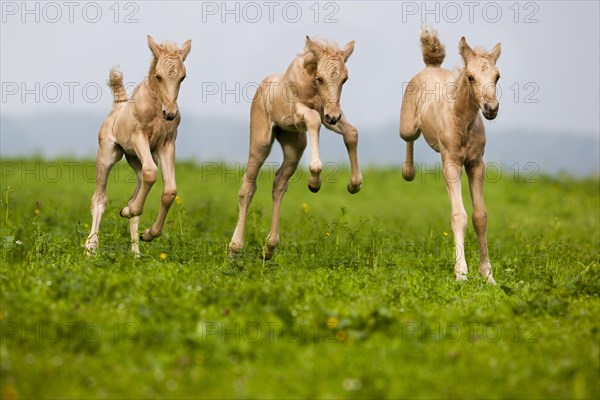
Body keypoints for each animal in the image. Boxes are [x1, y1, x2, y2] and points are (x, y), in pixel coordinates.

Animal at [84, 35, 191, 256]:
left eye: (183, 77)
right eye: (158, 76)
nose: (170, 114)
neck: (156, 108)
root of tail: (118, 104)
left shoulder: (167, 144)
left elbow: (169, 191)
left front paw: (148, 233)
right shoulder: (138, 136)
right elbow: (151, 174)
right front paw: (128, 210)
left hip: (135, 159)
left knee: (139, 185)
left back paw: (136, 253)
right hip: (108, 154)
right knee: (99, 199)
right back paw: (91, 248)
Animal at [229, 35, 360, 260]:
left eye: (345, 79)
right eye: (320, 78)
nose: (334, 116)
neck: (308, 79)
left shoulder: (328, 114)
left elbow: (351, 133)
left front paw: (354, 184)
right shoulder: (299, 113)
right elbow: (313, 119)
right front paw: (315, 180)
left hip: (294, 145)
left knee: (279, 183)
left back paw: (269, 247)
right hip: (261, 142)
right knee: (248, 187)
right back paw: (235, 248)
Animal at [398, 28, 502, 282]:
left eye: (497, 76)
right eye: (470, 77)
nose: (491, 109)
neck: (462, 121)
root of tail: (431, 66)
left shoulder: (476, 164)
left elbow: (480, 217)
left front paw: (488, 275)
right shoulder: (451, 164)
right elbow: (459, 215)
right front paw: (461, 273)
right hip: (407, 125)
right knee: (408, 136)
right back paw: (408, 172)